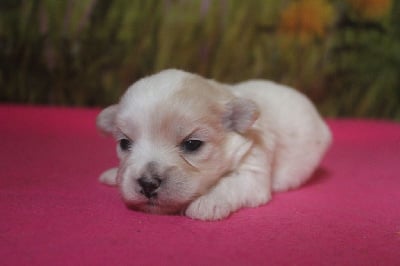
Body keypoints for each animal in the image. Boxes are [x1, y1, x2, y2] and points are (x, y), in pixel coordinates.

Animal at [97, 68, 332, 220]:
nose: (147, 183)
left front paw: (206, 204)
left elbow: (230, 183)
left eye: (192, 144)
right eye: (124, 143)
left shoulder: (253, 168)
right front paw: (113, 174)